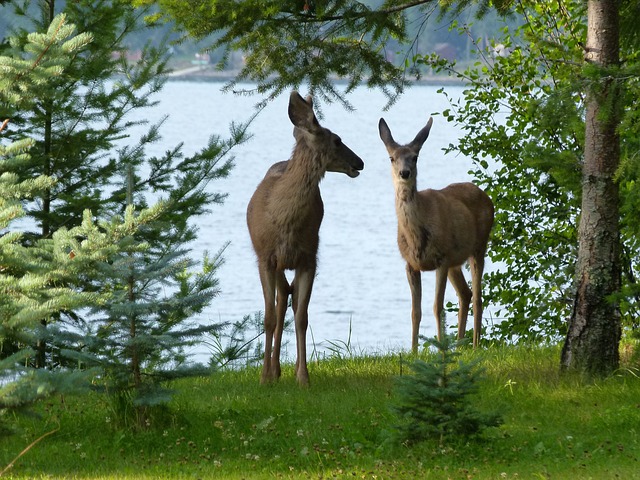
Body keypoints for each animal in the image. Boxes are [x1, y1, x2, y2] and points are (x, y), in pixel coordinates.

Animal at [246, 91, 362, 386]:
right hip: (275, 263)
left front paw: (303, 377)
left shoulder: (310, 257)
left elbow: (302, 317)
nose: (360, 162)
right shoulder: (265, 257)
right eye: (337, 139)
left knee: (289, 297)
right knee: (279, 302)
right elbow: (268, 317)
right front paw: (264, 377)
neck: (285, 221)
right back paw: (273, 370)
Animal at [380, 116, 496, 348]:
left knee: (478, 296)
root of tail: (486, 196)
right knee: (465, 293)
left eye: (415, 157)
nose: (404, 173)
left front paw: (441, 349)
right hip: (455, 261)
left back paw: (475, 345)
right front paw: (414, 351)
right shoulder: (410, 264)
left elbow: (437, 307)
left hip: (478, 246)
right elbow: (415, 312)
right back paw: (460, 344)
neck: (416, 238)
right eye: (391, 158)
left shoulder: (441, 259)